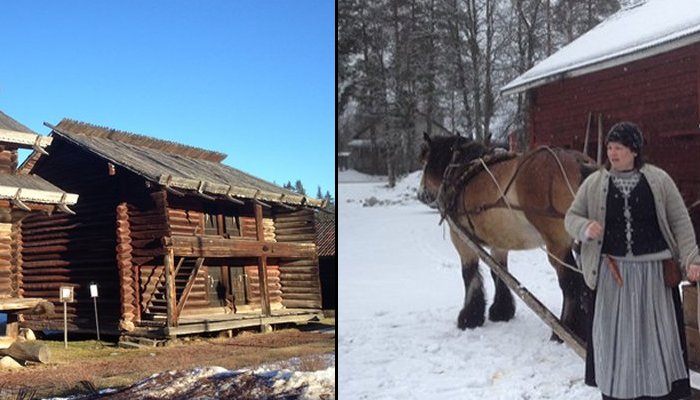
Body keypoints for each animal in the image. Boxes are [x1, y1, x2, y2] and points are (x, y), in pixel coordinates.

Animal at [416, 133, 596, 342]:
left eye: (425, 162)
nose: (421, 194)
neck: (462, 171)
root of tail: (581, 163)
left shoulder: (462, 241)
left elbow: (469, 275)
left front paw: (469, 318)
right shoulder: (499, 243)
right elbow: (499, 273)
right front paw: (502, 310)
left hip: (558, 246)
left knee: (571, 284)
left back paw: (564, 331)